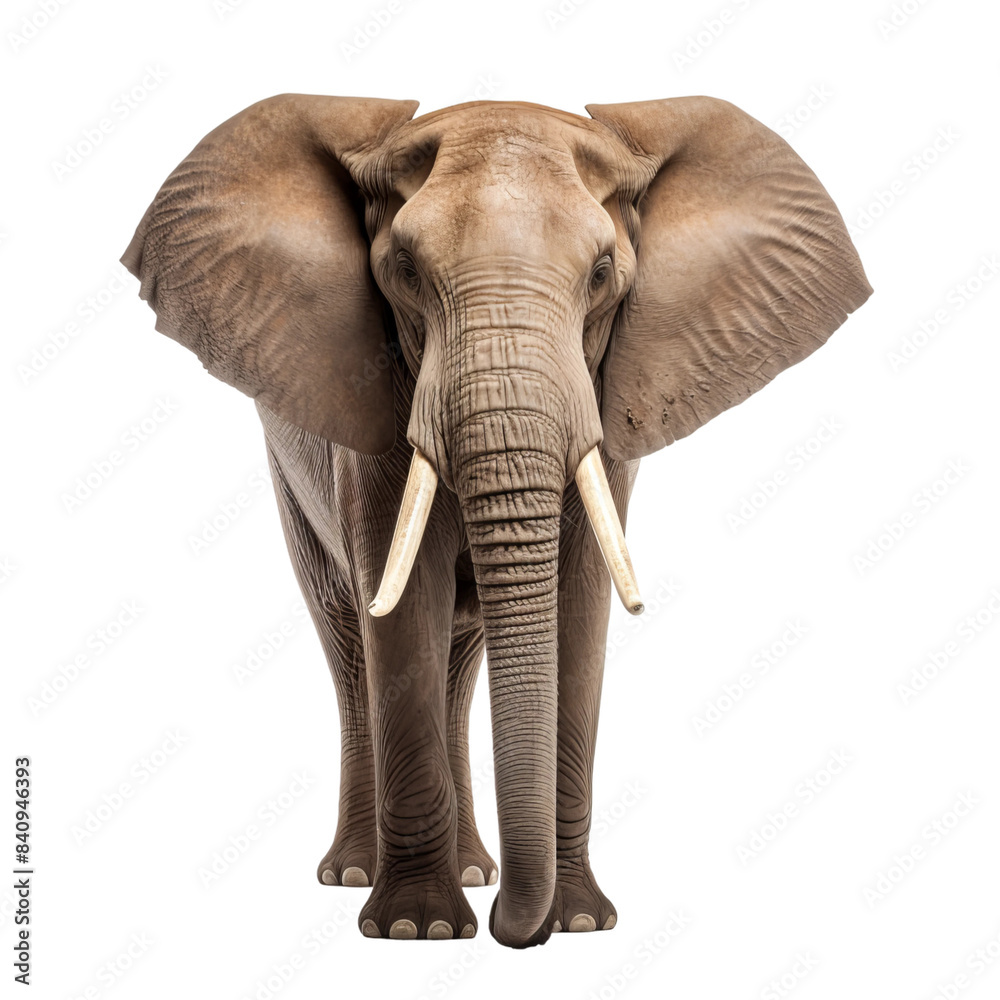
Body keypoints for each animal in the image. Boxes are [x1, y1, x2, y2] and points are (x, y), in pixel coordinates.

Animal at [121, 93, 871, 948]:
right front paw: (417, 929)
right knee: (350, 644)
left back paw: (476, 869)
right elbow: (401, 609)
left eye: (603, 274)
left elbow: (579, 614)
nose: (522, 932)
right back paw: (358, 875)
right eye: (403, 272)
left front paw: (581, 921)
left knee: (457, 659)